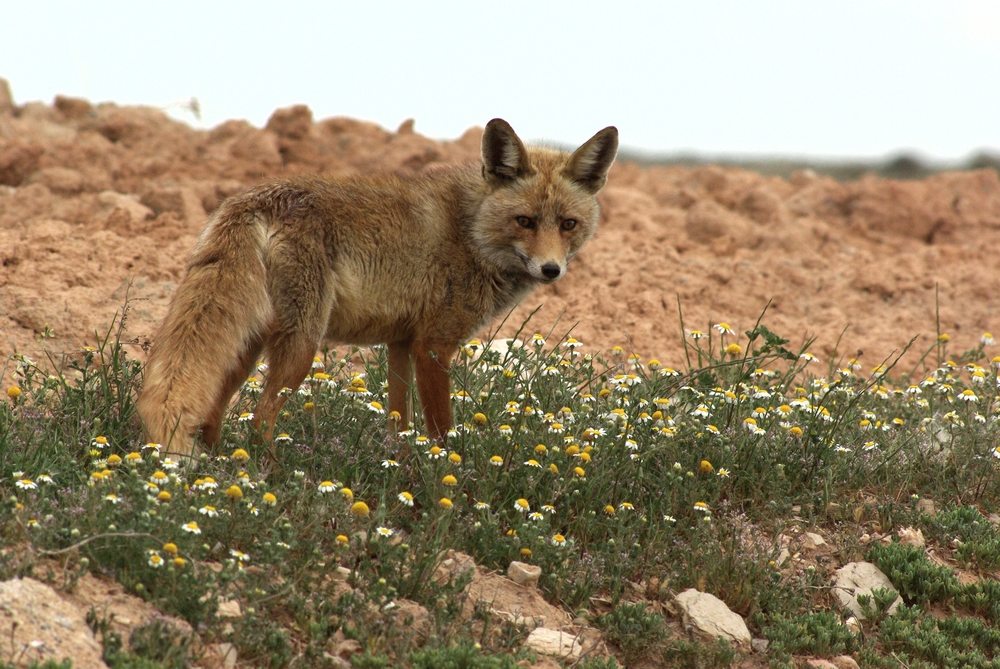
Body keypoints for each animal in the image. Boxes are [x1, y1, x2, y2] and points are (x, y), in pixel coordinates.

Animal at [137, 118, 618, 456]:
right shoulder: (433, 346)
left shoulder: (401, 344)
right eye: (525, 221)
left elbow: (399, 426)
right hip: (301, 346)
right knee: (258, 421)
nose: (551, 270)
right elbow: (441, 434)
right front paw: (446, 486)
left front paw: (400, 473)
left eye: (568, 224)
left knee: (212, 419)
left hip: (250, 346)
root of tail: (255, 198)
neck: (471, 233)